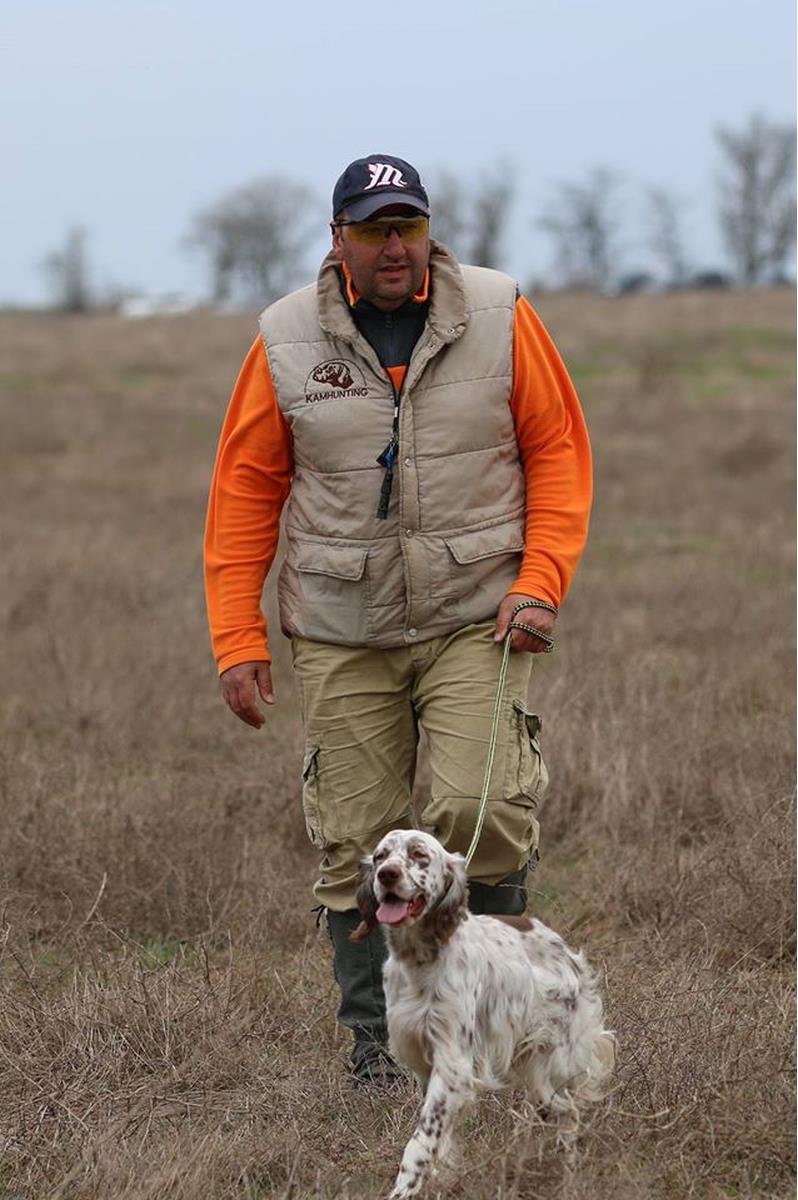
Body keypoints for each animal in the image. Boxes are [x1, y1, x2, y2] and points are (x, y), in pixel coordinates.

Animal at [352, 829, 615, 1199]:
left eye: (419, 855)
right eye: (380, 856)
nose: (387, 874)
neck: (421, 959)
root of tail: (565, 949)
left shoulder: (453, 1064)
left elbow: (420, 1142)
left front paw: (404, 1189)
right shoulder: (425, 1062)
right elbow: (439, 1137)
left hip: (551, 1062)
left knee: (570, 1110)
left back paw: (569, 1173)